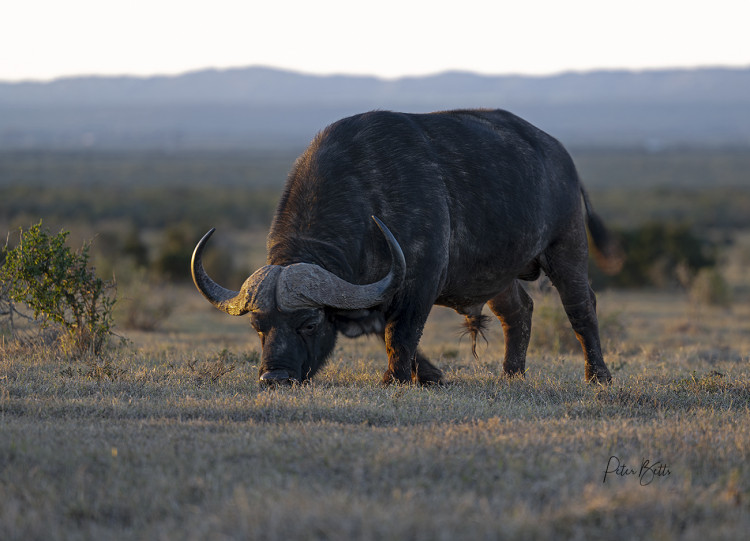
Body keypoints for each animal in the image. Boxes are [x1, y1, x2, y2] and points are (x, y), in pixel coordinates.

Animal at [192, 108, 624, 384]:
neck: (366, 195)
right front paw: (430, 375)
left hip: (566, 246)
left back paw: (598, 376)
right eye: (257, 326)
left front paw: (395, 378)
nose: (274, 377)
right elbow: (391, 332)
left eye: (310, 323)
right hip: (497, 273)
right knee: (518, 311)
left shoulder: (420, 281)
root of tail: (560, 155)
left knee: (581, 307)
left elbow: (400, 333)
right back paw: (511, 375)